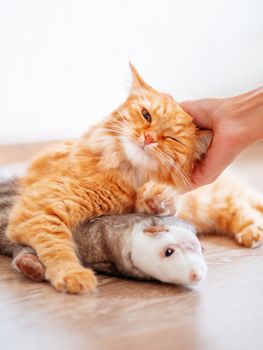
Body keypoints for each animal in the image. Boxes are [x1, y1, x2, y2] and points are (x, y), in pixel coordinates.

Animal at [6, 63, 263, 292]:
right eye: (146, 116)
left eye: (171, 138)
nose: (149, 138)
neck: (126, 172)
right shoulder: (41, 212)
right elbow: (57, 248)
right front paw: (73, 274)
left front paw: (159, 196)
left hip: (214, 202)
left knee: (243, 208)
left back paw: (253, 233)